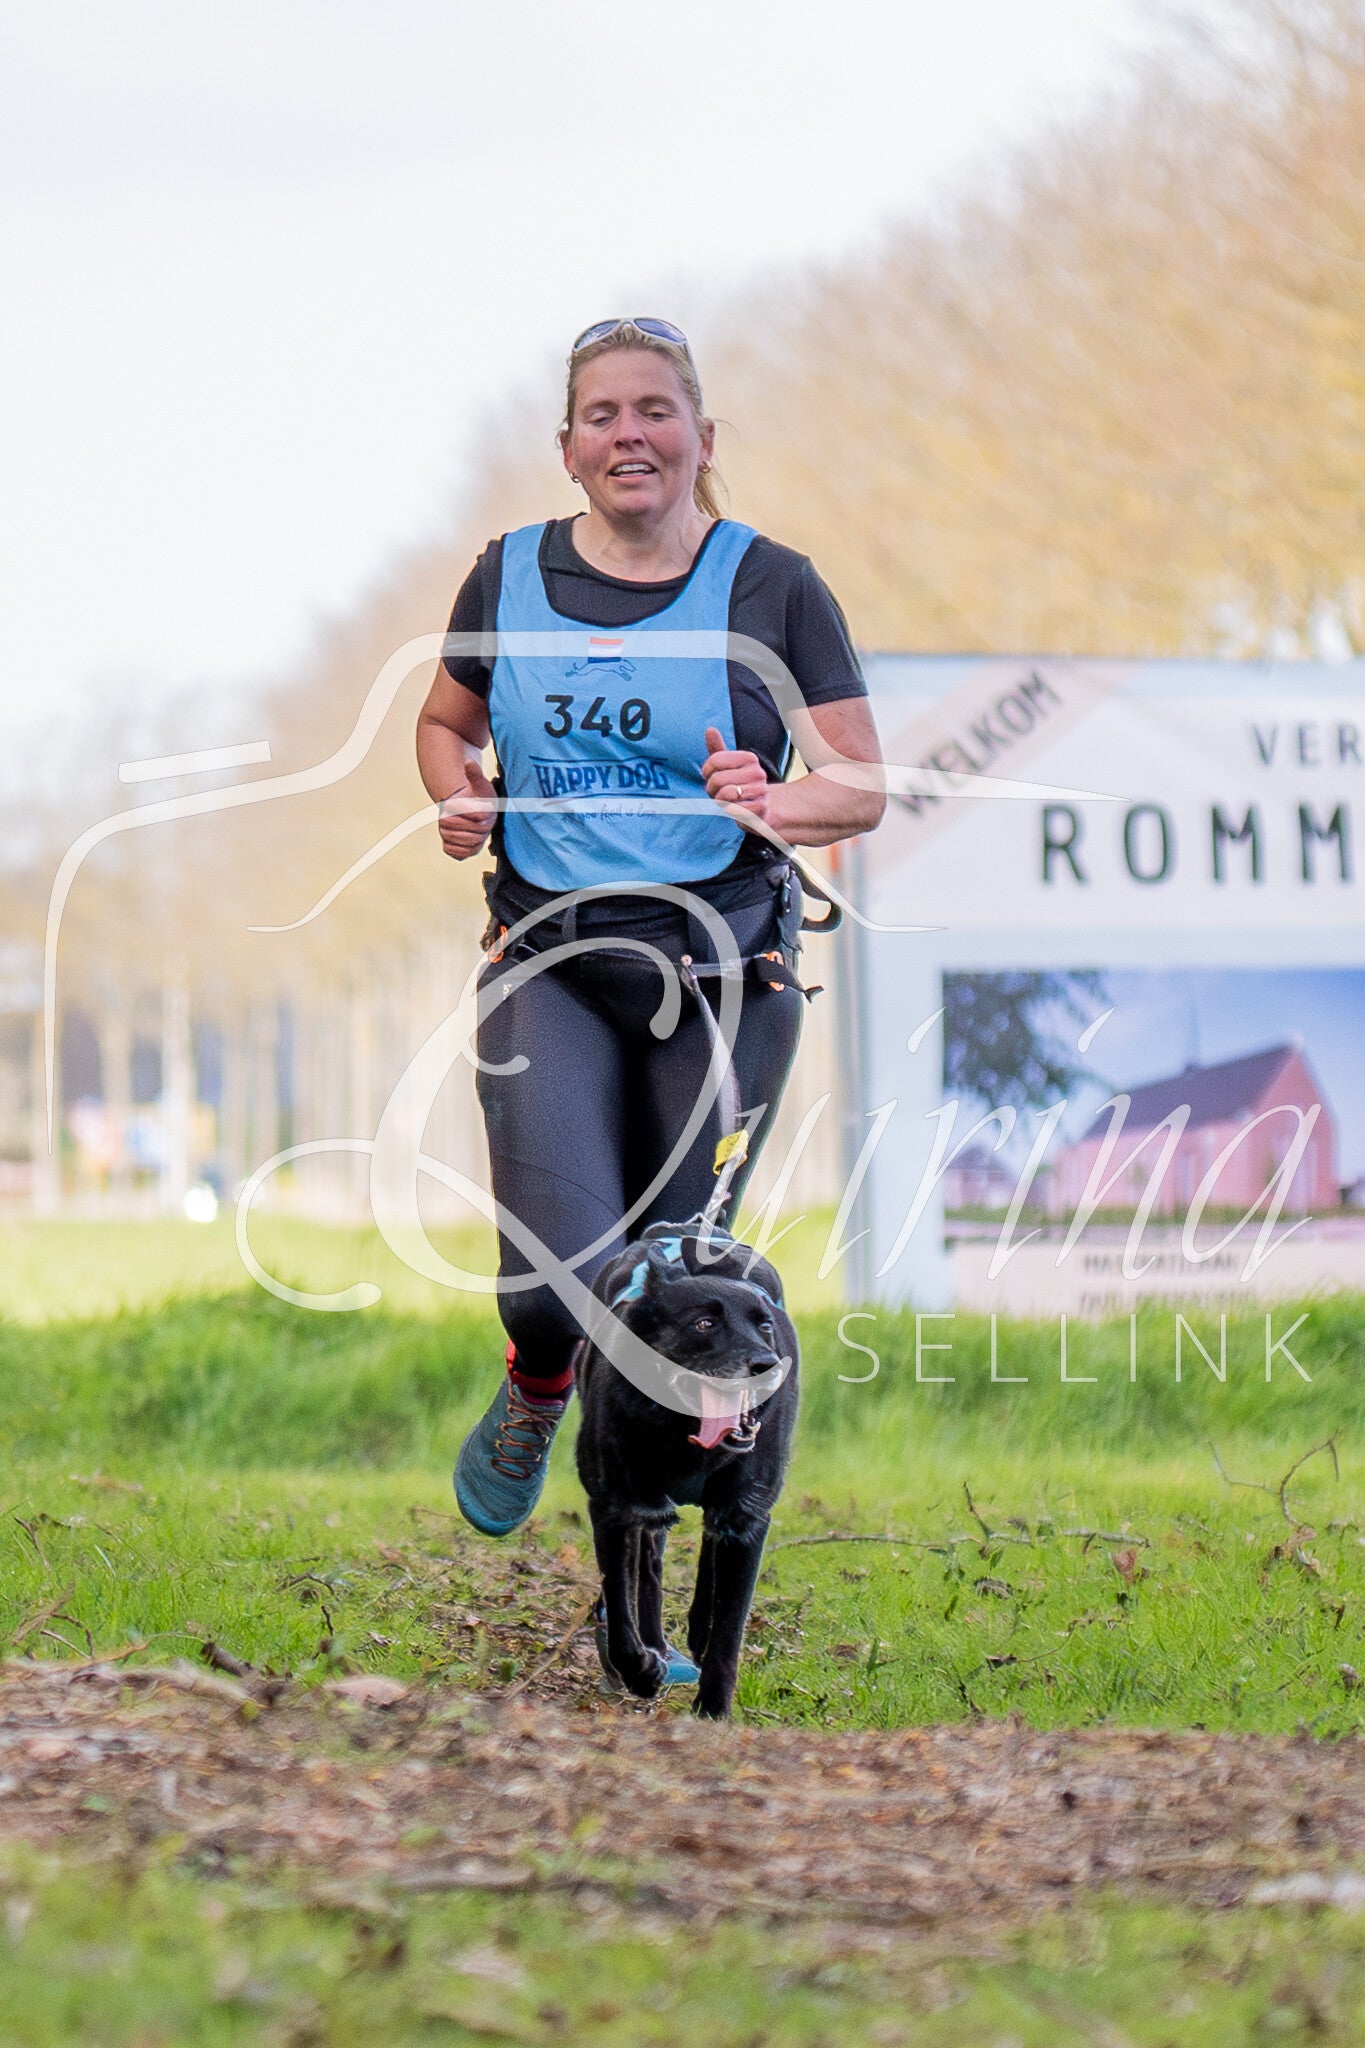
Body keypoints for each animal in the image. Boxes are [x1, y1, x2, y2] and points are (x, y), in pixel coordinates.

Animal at [574, 1219, 799, 1720]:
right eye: (704, 1323)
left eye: (764, 1326)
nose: (769, 1366)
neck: (686, 1439)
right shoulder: (614, 1507)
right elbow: (621, 1602)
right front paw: (640, 1670)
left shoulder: (746, 1515)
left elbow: (730, 1631)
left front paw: (713, 1708)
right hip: (647, 1508)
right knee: (650, 1567)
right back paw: (657, 1645)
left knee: (708, 1554)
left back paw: (698, 1628)